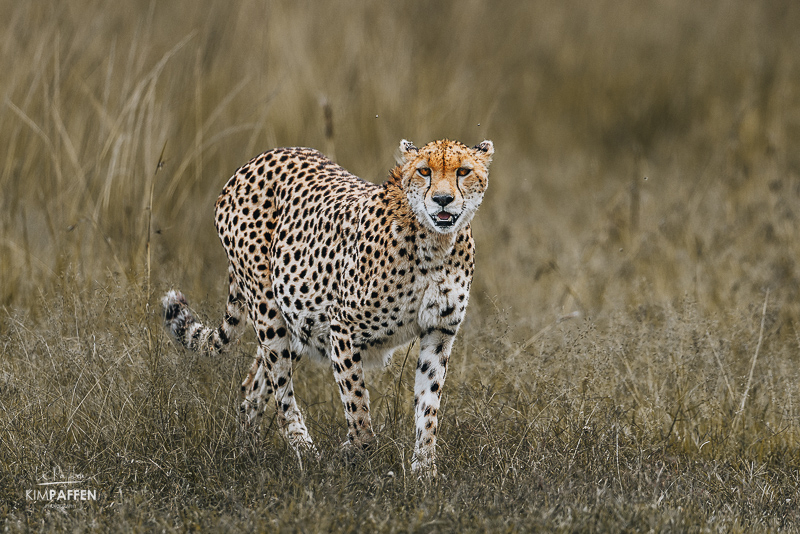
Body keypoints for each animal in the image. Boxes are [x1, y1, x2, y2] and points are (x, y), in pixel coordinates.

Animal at [162, 138, 494, 475]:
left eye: (463, 171)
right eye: (424, 171)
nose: (442, 200)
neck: (434, 244)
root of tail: (259, 158)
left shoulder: (438, 333)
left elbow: (428, 409)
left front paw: (424, 472)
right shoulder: (343, 328)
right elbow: (358, 408)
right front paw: (350, 452)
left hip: (297, 319)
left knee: (252, 386)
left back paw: (247, 452)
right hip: (270, 314)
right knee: (281, 394)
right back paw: (306, 453)